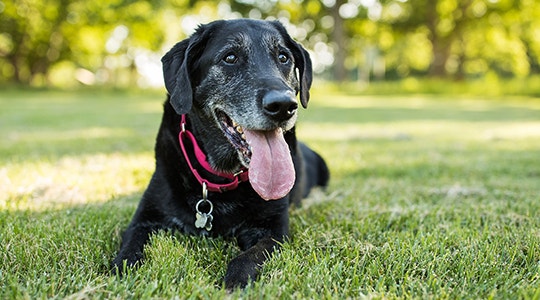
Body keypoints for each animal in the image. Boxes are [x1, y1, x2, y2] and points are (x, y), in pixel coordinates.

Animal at [112, 18, 326, 288]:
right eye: (230, 57)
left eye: (283, 57)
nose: (283, 106)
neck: (220, 177)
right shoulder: (144, 219)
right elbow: (130, 249)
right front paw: (122, 270)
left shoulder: (275, 231)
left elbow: (247, 258)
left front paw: (234, 282)